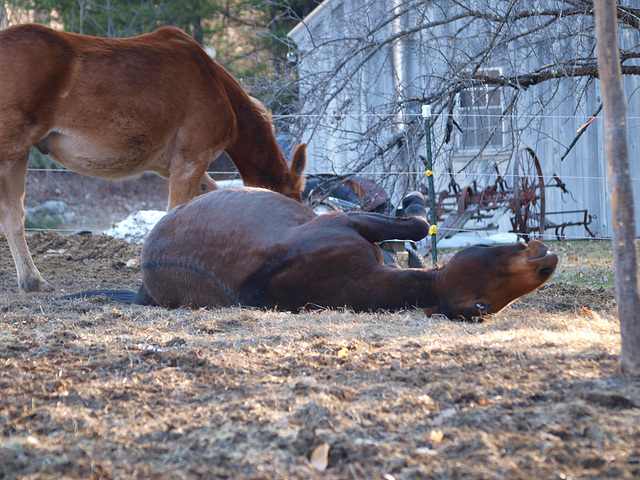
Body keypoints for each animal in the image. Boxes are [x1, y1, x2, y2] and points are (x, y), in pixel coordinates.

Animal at [0, 24, 308, 294]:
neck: (215, 83)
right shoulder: (190, 161)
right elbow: (173, 213)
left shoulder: (173, 167)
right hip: (12, 153)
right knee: (13, 215)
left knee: (13, 216)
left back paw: (31, 280)